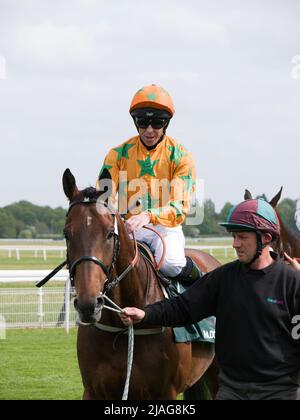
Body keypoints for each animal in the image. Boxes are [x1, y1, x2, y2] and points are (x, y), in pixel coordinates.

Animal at [62, 168, 220, 400]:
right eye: (67, 234)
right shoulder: (93, 390)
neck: (121, 328)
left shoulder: (165, 391)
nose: (88, 304)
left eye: (109, 233)